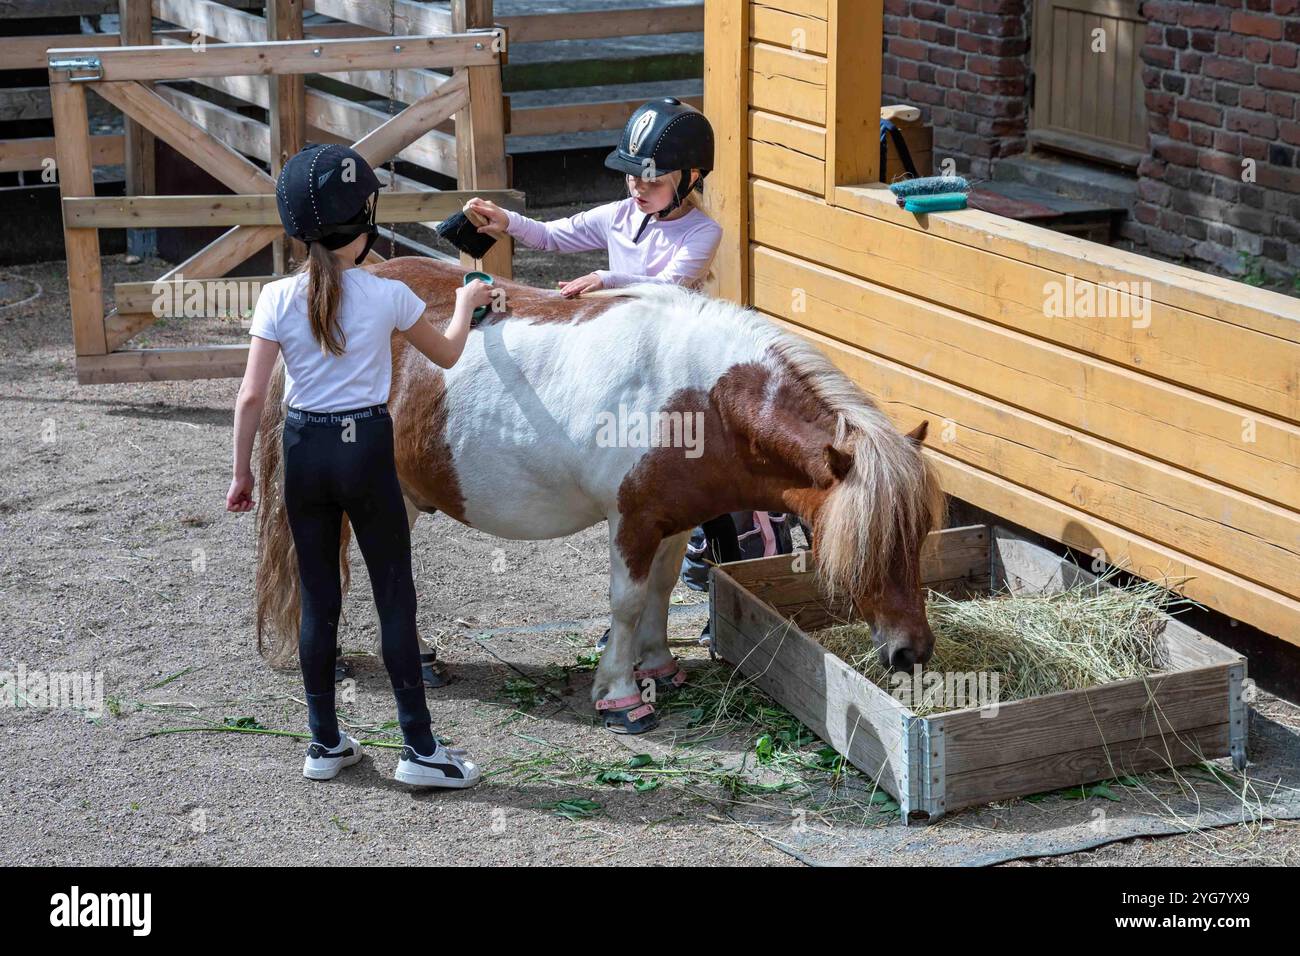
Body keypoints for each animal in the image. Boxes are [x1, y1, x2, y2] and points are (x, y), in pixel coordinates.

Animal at [256, 257, 946, 738]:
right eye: (866, 551)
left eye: (918, 538)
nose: (912, 652)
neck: (702, 399)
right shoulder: (632, 521)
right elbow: (627, 602)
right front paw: (619, 696)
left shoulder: (673, 522)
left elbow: (661, 594)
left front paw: (658, 666)